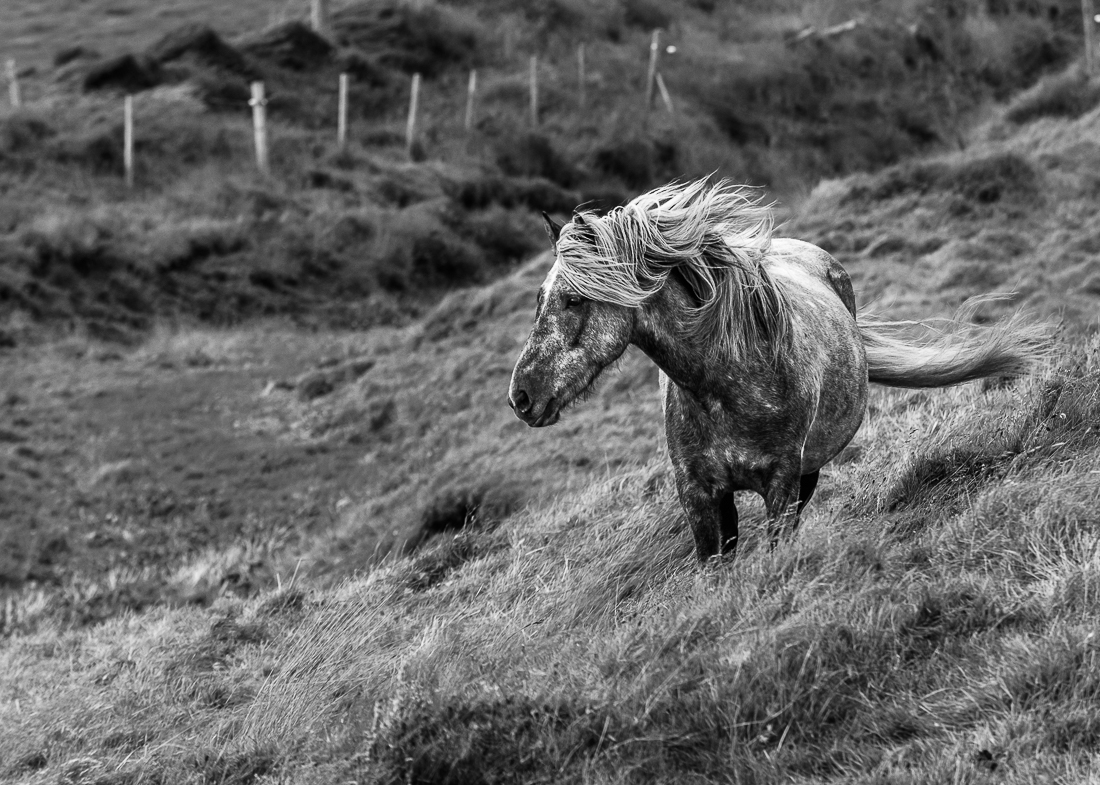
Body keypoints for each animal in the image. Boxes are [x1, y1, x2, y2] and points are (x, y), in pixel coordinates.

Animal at [507, 179, 1047, 562]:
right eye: (539, 298)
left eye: (574, 300)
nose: (521, 398)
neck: (726, 384)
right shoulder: (699, 497)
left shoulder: (782, 482)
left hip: (808, 472)